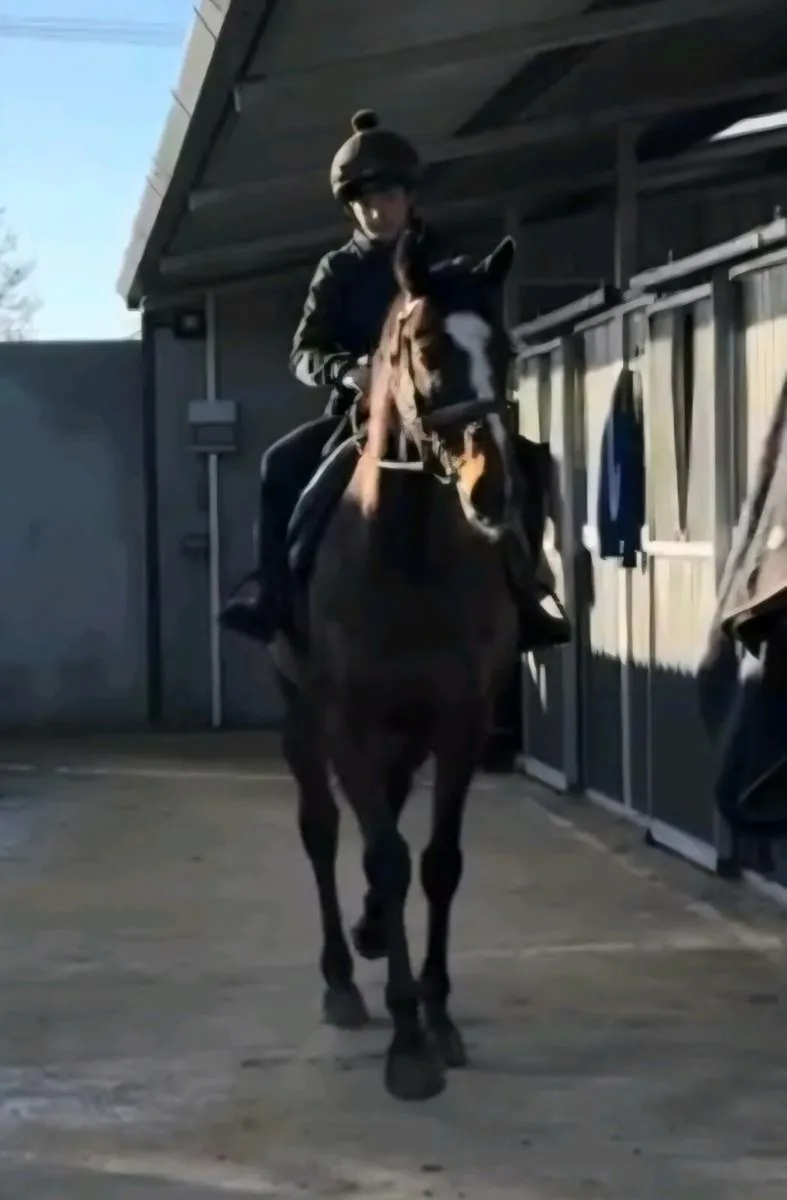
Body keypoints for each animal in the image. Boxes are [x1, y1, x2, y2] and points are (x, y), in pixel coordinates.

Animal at [271, 229, 528, 1101]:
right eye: (426, 349)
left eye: (506, 350)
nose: (493, 492)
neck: (407, 553)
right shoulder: (345, 719)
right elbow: (383, 856)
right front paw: (408, 1041)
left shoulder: (460, 720)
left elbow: (438, 863)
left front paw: (438, 1016)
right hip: (299, 715)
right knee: (321, 831)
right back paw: (343, 980)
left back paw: (375, 938)